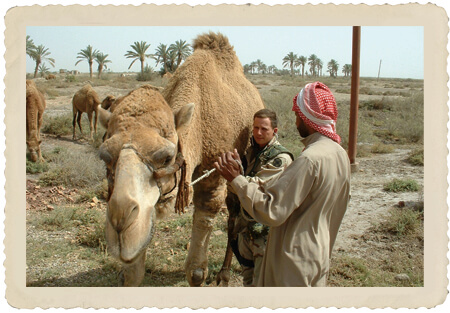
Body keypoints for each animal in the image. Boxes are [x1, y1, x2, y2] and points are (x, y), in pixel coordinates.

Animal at [98, 31, 264, 286]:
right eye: (104, 156)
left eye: (166, 157)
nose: (120, 222)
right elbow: (132, 273)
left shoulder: (214, 174)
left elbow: (196, 272)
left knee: (235, 214)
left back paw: (224, 274)